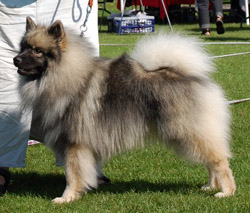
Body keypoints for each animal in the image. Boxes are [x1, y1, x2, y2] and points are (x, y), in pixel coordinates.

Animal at [13, 16, 236, 203]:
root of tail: (189, 74)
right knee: (210, 162)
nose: (16, 59)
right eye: (23, 48)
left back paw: (226, 191)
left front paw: (66, 198)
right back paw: (210, 186)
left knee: (219, 161)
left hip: (190, 131)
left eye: (37, 50)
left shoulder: (74, 143)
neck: (64, 75)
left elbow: (72, 174)